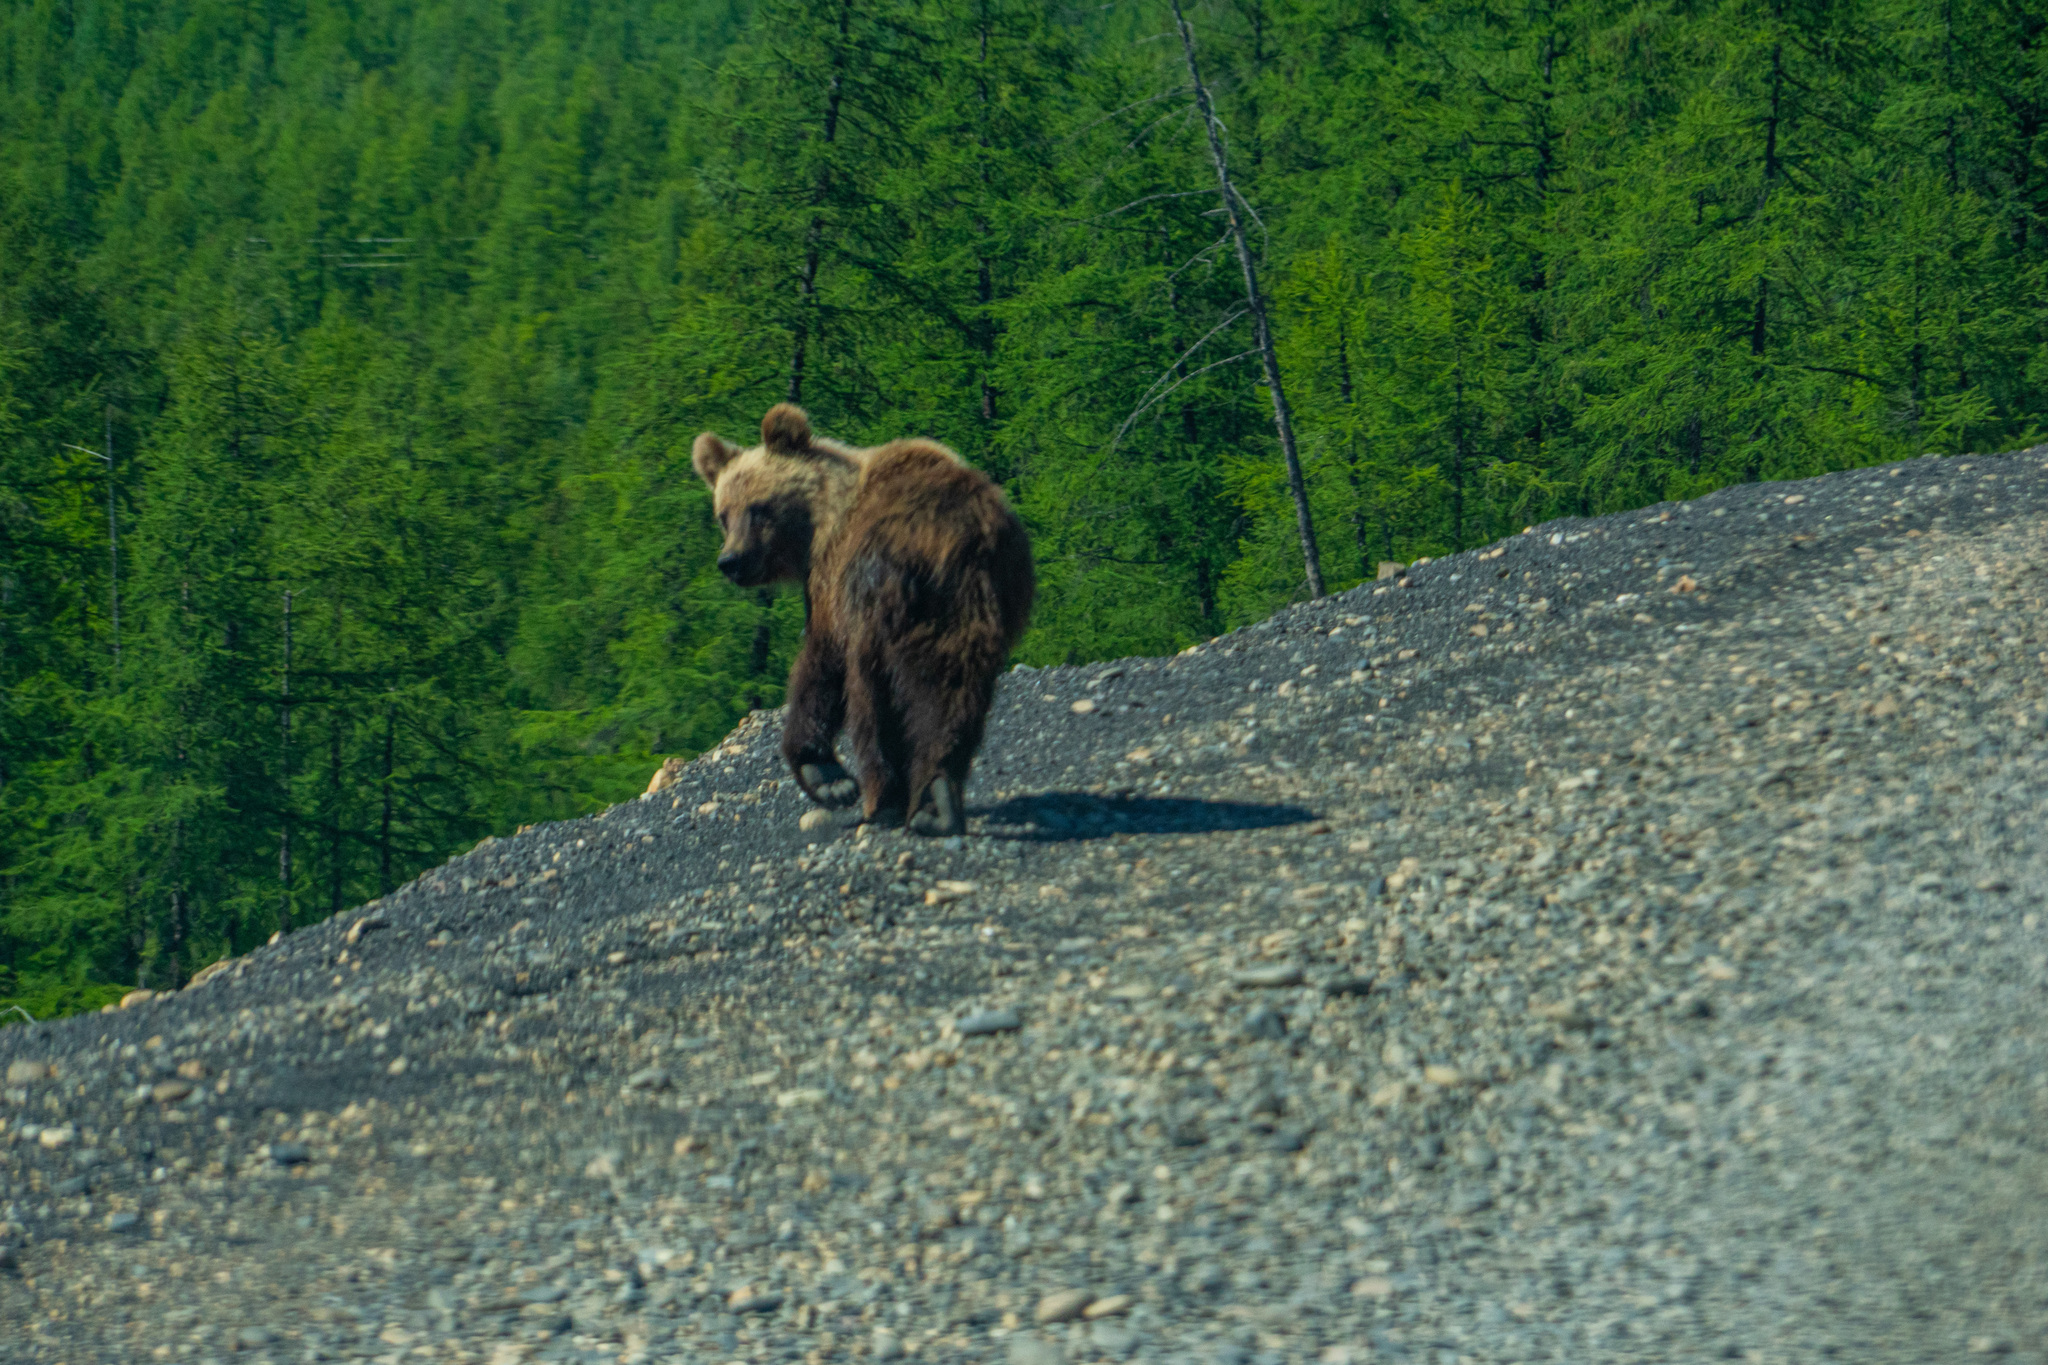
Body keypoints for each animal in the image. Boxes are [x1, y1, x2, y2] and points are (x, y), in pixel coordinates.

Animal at [692, 401, 1040, 839]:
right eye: (723, 515)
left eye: (759, 508)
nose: (731, 561)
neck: (821, 518)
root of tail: (938, 537)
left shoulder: (831, 576)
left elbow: (821, 662)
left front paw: (823, 773)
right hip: (967, 602)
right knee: (953, 688)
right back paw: (938, 801)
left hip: (880, 602)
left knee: (872, 697)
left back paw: (883, 800)